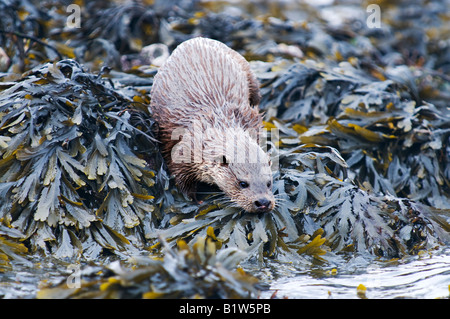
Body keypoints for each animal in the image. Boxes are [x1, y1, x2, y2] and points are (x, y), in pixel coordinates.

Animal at [150, 37, 274, 212]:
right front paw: (195, 199)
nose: (263, 202)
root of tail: (195, 39)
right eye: (242, 183)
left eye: (269, 183)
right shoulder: (184, 150)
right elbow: (180, 177)